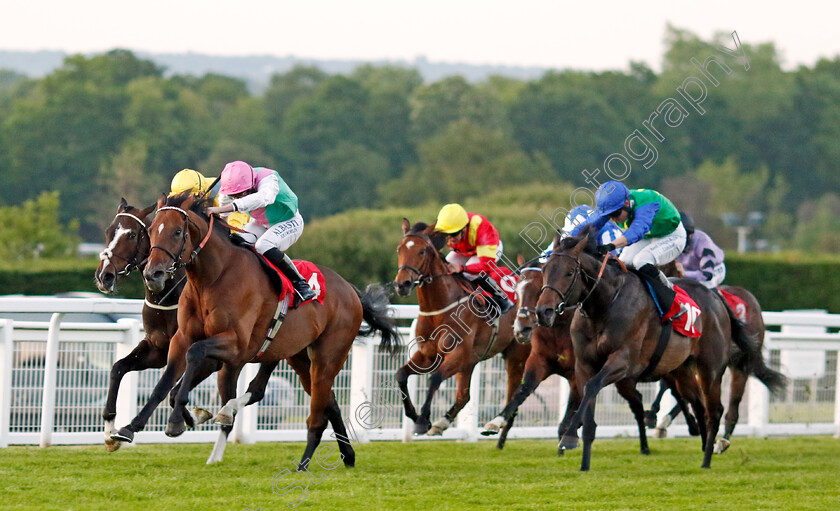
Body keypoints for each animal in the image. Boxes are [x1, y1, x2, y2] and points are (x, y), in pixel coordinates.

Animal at [113, 194, 398, 470]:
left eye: (176, 231)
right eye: (151, 230)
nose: (154, 274)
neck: (213, 277)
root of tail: (351, 290)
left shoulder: (235, 346)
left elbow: (193, 356)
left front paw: (176, 421)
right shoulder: (181, 340)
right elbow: (165, 384)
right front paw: (129, 428)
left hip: (327, 357)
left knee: (316, 411)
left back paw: (303, 463)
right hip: (297, 356)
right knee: (329, 402)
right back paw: (347, 456)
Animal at [392, 219, 524, 436]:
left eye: (422, 251)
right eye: (399, 249)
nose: (402, 284)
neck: (438, 308)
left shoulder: (458, 353)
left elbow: (435, 378)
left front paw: (423, 420)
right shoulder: (428, 355)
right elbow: (401, 374)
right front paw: (414, 415)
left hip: (516, 353)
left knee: (514, 391)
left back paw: (495, 423)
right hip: (472, 360)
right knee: (464, 396)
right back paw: (443, 422)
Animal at [536, 228, 776, 472]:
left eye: (569, 272)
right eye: (544, 270)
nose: (543, 312)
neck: (605, 304)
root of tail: (717, 299)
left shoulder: (624, 361)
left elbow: (593, 386)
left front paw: (567, 437)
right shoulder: (584, 364)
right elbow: (588, 402)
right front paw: (582, 460)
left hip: (712, 367)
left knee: (716, 409)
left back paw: (709, 457)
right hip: (682, 370)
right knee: (698, 404)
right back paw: (702, 447)